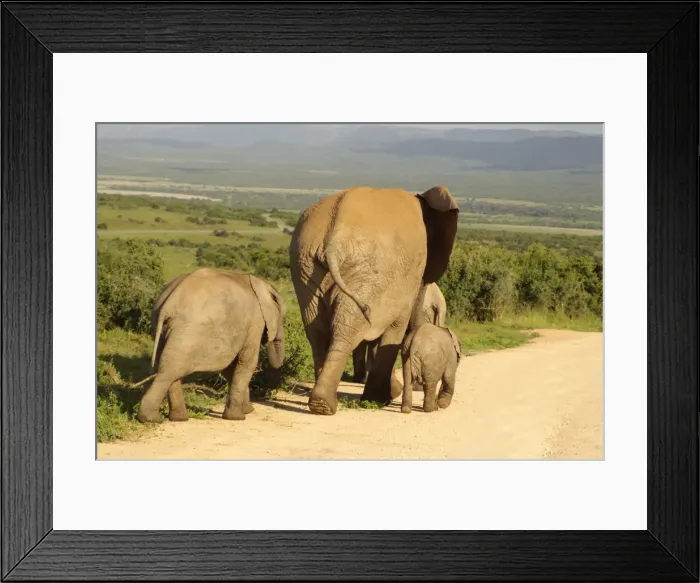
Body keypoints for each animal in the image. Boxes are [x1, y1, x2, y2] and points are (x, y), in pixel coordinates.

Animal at [136, 268, 286, 424]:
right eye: (283, 318)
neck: (261, 284)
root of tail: (168, 304)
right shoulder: (256, 321)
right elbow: (246, 362)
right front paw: (238, 417)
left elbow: (230, 367)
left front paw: (247, 410)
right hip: (189, 333)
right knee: (169, 370)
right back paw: (150, 419)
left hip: (161, 327)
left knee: (169, 368)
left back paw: (179, 418)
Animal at [289, 185, 459, 415]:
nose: (415, 385)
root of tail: (334, 240)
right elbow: (395, 328)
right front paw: (382, 398)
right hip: (368, 271)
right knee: (350, 328)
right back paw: (331, 403)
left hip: (306, 265)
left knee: (318, 330)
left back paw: (321, 404)